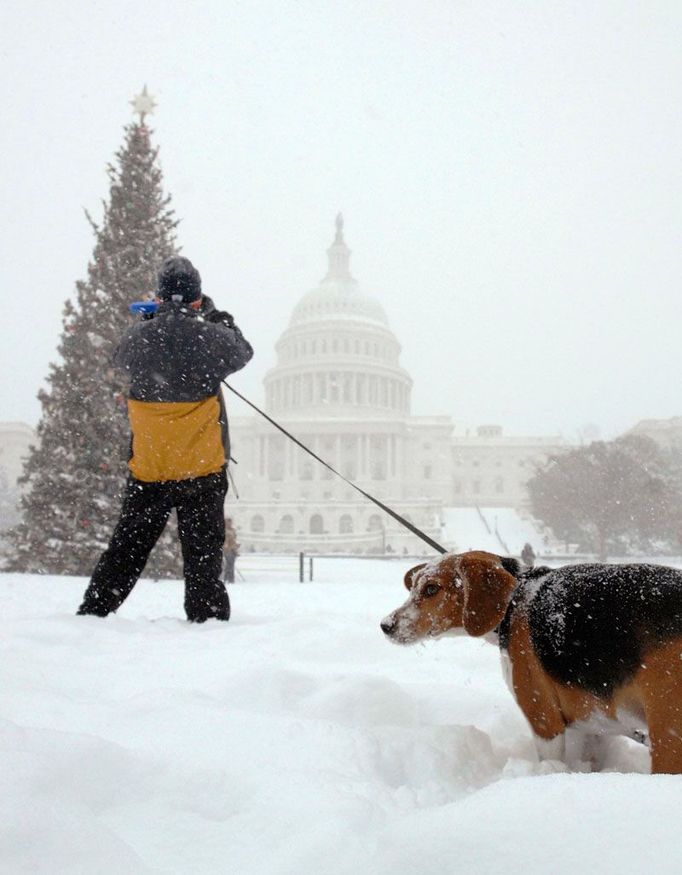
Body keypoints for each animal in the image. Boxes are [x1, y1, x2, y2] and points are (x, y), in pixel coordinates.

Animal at [378, 552, 682, 776]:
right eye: (414, 587)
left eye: (431, 589)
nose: (386, 625)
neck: (514, 600)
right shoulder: (596, 722)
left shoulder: (544, 720)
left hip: (667, 735)